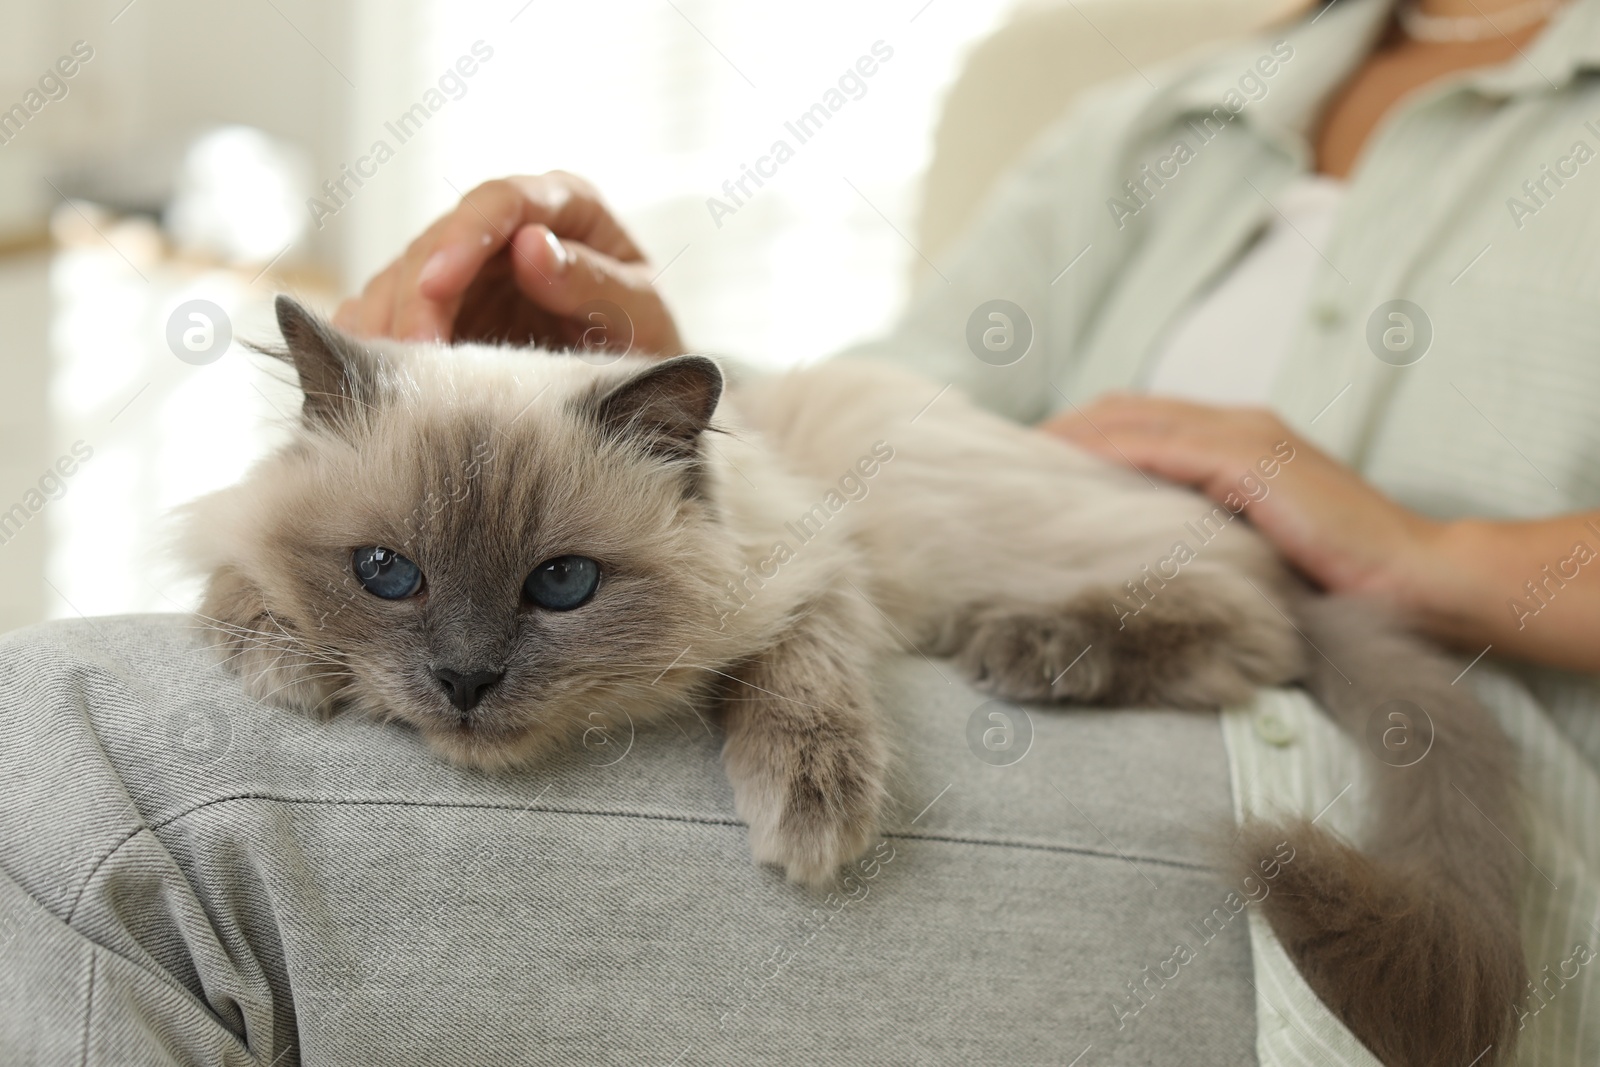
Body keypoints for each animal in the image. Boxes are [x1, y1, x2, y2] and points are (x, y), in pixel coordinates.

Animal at [184, 294, 1523, 1067]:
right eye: (385, 572)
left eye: (560, 583)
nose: (463, 679)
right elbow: (228, 576)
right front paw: (279, 652)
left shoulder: (820, 575)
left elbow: (798, 691)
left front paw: (813, 821)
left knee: (1254, 630)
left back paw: (1029, 646)